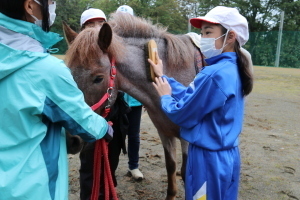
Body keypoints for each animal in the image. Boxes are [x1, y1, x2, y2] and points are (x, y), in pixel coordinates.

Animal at [64, 13, 203, 199]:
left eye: (98, 78)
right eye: (68, 73)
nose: (70, 140)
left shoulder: (186, 138)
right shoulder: (164, 132)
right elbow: (171, 167)